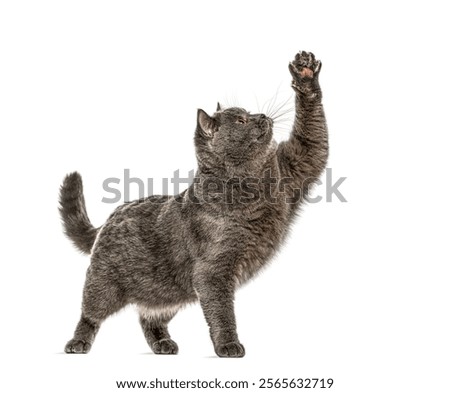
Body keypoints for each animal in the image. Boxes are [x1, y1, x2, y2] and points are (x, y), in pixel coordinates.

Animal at [59, 50, 326, 356]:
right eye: (241, 121)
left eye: (248, 113)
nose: (262, 116)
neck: (252, 181)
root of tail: (110, 217)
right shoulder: (212, 273)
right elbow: (222, 313)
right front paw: (228, 345)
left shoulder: (297, 166)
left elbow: (313, 138)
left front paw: (305, 74)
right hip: (104, 284)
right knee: (90, 313)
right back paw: (77, 343)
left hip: (167, 289)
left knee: (148, 316)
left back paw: (163, 344)